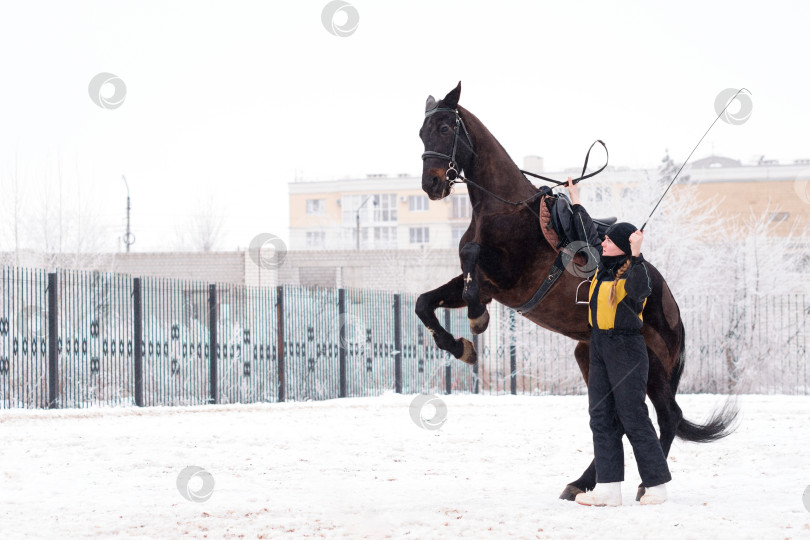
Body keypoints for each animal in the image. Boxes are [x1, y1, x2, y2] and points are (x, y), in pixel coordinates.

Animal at [414, 82, 736, 500]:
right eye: (422, 132)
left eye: (445, 128)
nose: (432, 185)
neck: (503, 210)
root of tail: (674, 308)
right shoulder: (485, 285)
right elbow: (425, 302)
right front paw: (460, 346)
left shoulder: (504, 279)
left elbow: (470, 261)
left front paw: (476, 321)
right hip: (590, 358)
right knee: (620, 420)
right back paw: (583, 483)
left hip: (650, 366)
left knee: (666, 416)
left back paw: (644, 486)